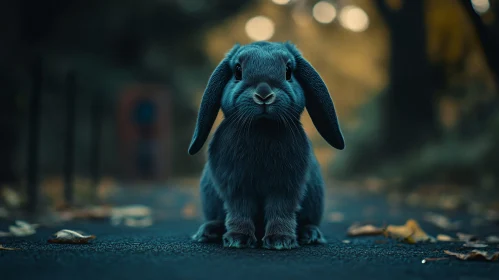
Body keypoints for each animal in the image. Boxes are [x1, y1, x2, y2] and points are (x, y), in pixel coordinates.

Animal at [188, 41, 344, 249]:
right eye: (238, 71)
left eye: (288, 71)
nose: (263, 95)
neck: (262, 128)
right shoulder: (236, 186)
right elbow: (240, 210)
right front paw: (238, 238)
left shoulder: (285, 186)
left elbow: (281, 210)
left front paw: (280, 240)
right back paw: (208, 232)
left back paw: (311, 234)